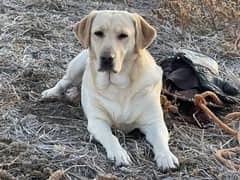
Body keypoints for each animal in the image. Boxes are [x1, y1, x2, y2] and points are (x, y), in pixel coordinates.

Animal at [42, 10, 179, 172]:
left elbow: (160, 140)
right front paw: (119, 153)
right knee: (64, 81)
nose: (107, 58)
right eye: (98, 33)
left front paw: (166, 156)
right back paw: (51, 93)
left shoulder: (154, 122)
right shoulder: (97, 121)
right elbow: (111, 137)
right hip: (78, 65)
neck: (118, 86)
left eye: (123, 35)